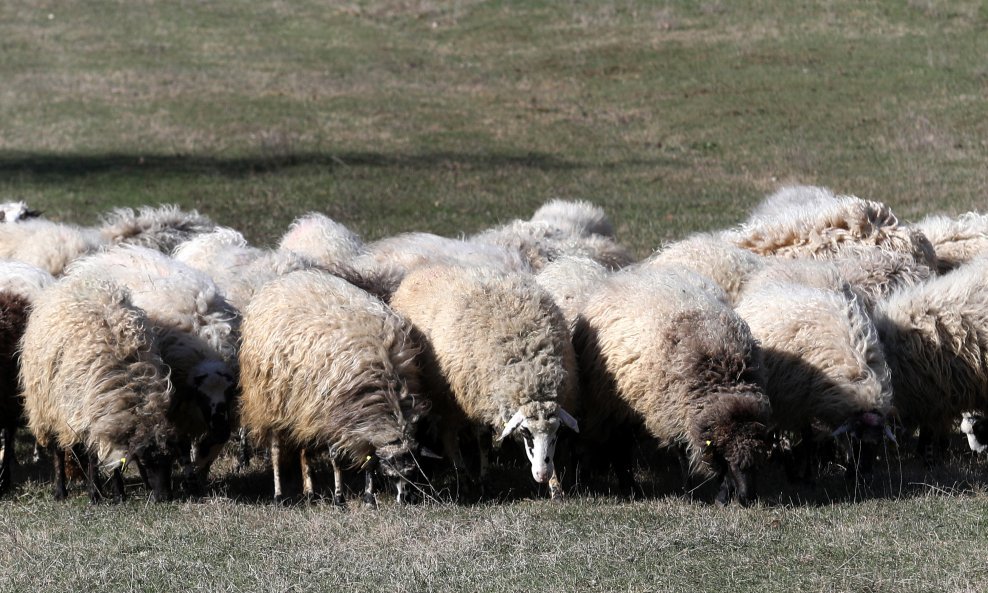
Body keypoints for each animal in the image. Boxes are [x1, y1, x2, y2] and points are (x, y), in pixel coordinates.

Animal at [20, 276, 177, 502]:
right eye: (148, 462)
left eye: (171, 460)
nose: (165, 497)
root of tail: (71, 282)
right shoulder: (90, 415)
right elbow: (95, 457)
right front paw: (96, 494)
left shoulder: (108, 419)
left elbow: (112, 458)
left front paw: (118, 492)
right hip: (49, 406)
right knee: (58, 450)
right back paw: (61, 491)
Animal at [65, 245, 239, 490]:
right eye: (202, 395)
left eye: (230, 391)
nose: (221, 428)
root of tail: (100, 256)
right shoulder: (176, 405)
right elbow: (181, 444)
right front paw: (190, 478)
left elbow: (209, 448)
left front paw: (201, 477)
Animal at [576, 266, 776, 502]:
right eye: (729, 459)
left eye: (759, 463)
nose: (748, 498)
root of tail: (620, 276)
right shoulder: (673, 415)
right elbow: (684, 458)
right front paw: (690, 495)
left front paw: (722, 497)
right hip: (611, 402)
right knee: (619, 445)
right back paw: (630, 488)